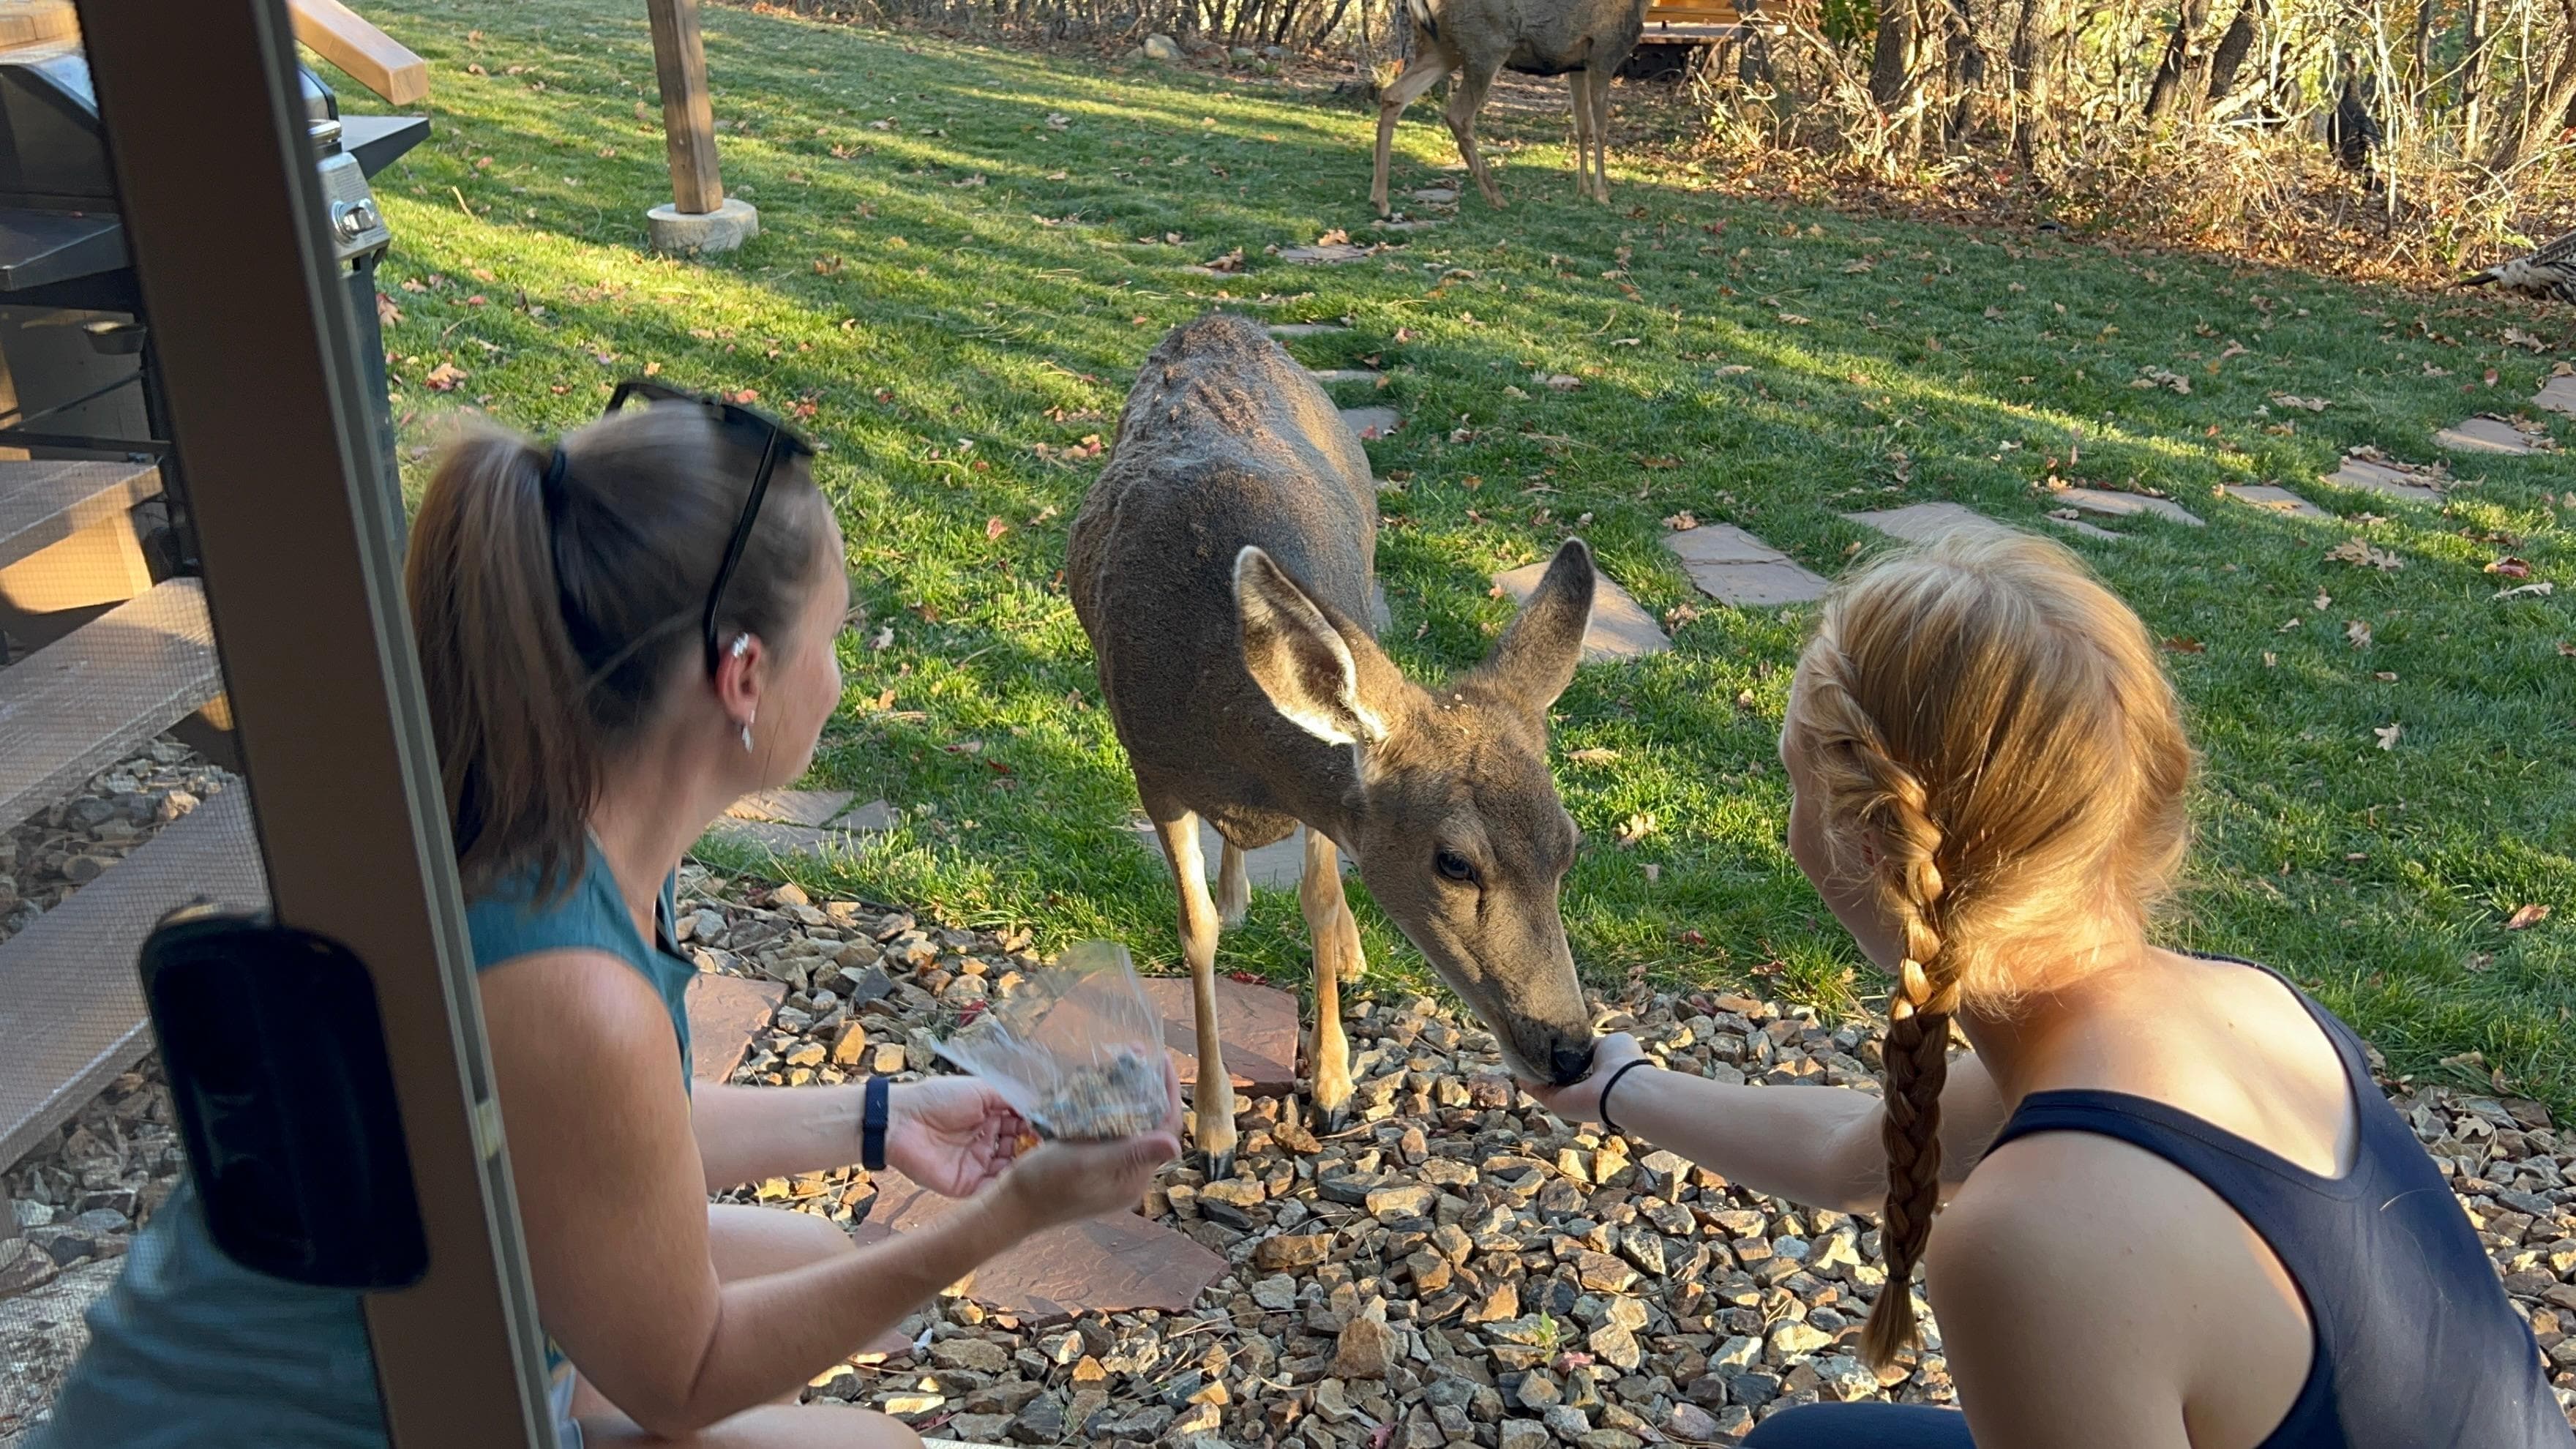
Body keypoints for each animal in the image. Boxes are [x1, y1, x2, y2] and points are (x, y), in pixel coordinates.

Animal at [1067, 312, 1600, 1176]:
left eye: (1569, 846)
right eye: (1454, 862)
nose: (1572, 1051)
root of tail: (1216, 319)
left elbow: (1317, 900)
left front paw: (1332, 1086)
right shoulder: (1152, 768)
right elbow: (1195, 931)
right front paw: (1213, 1133)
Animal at [1370, 0, 1654, 217]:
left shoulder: (1577, 65)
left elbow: (1582, 126)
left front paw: (1582, 190)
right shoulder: (1603, 54)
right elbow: (1600, 128)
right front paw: (1602, 193)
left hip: (1440, 48)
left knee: (1394, 95)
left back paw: (1381, 201)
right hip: (1486, 47)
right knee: (1459, 115)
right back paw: (1496, 197)